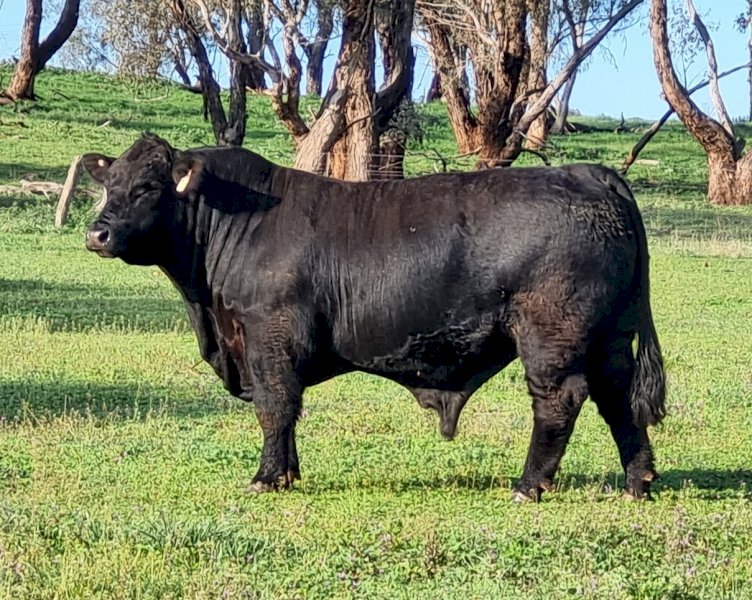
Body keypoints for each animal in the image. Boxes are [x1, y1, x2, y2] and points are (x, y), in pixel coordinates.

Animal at [82, 134, 665, 501]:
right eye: (109, 186)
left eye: (149, 187)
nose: (97, 233)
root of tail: (588, 174)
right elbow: (287, 411)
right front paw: (288, 473)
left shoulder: (269, 336)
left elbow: (275, 406)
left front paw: (267, 477)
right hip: (610, 336)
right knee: (618, 398)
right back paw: (638, 483)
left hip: (550, 336)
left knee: (559, 401)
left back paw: (528, 487)